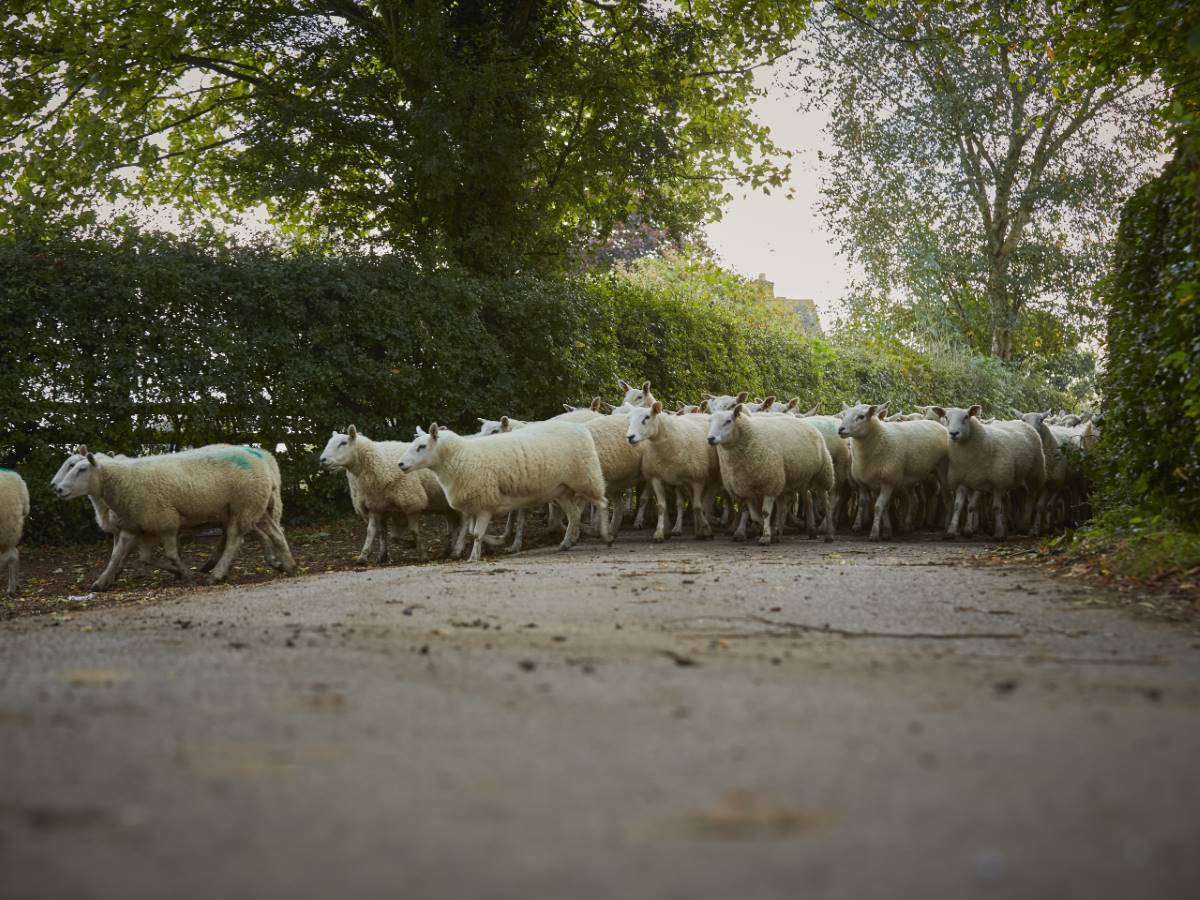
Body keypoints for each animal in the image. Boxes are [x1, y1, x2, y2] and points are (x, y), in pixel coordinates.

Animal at [52, 444, 297, 592]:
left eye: (79, 469)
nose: (57, 488)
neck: (121, 479)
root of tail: (262, 458)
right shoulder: (135, 526)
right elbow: (124, 556)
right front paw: (102, 581)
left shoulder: (165, 521)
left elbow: (169, 554)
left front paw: (185, 575)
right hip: (256, 507)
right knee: (275, 532)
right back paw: (289, 566)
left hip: (243, 506)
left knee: (236, 540)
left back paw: (216, 573)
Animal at [319, 427, 458, 564]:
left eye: (343, 443)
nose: (322, 460)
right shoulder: (375, 505)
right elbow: (375, 532)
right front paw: (368, 556)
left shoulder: (411, 503)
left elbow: (412, 532)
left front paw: (421, 553)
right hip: (446, 506)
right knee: (451, 525)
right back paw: (449, 549)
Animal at [624, 403, 715, 542]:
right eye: (628, 418)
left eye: (647, 417)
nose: (630, 437)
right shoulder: (657, 478)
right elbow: (662, 506)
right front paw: (659, 533)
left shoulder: (698, 479)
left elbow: (697, 506)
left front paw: (706, 529)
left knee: (702, 502)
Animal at [835, 408, 945, 542]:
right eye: (844, 415)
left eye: (861, 416)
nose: (841, 429)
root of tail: (936, 423)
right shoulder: (868, 484)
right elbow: (874, 505)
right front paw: (885, 531)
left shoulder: (888, 481)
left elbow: (878, 507)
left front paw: (874, 533)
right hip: (909, 480)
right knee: (914, 501)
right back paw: (907, 526)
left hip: (941, 471)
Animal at [931, 408, 1046, 542]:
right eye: (946, 417)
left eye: (966, 417)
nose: (954, 433)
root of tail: (1022, 423)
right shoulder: (963, 480)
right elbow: (959, 506)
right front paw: (952, 531)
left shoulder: (997, 482)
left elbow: (994, 507)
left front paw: (998, 534)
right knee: (1008, 503)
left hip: (1035, 473)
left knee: (1031, 497)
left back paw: (1026, 524)